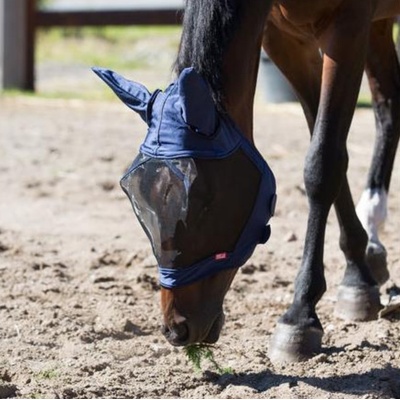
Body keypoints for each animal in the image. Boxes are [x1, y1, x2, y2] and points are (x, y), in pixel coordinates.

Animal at [158, 0, 398, 362]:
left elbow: (323, 163)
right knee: (389, 110)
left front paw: (300, 314)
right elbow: (327, 145)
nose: (176, 328)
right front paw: (356, 276)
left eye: (204, 204)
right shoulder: (285, 40)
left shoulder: (348, 27)